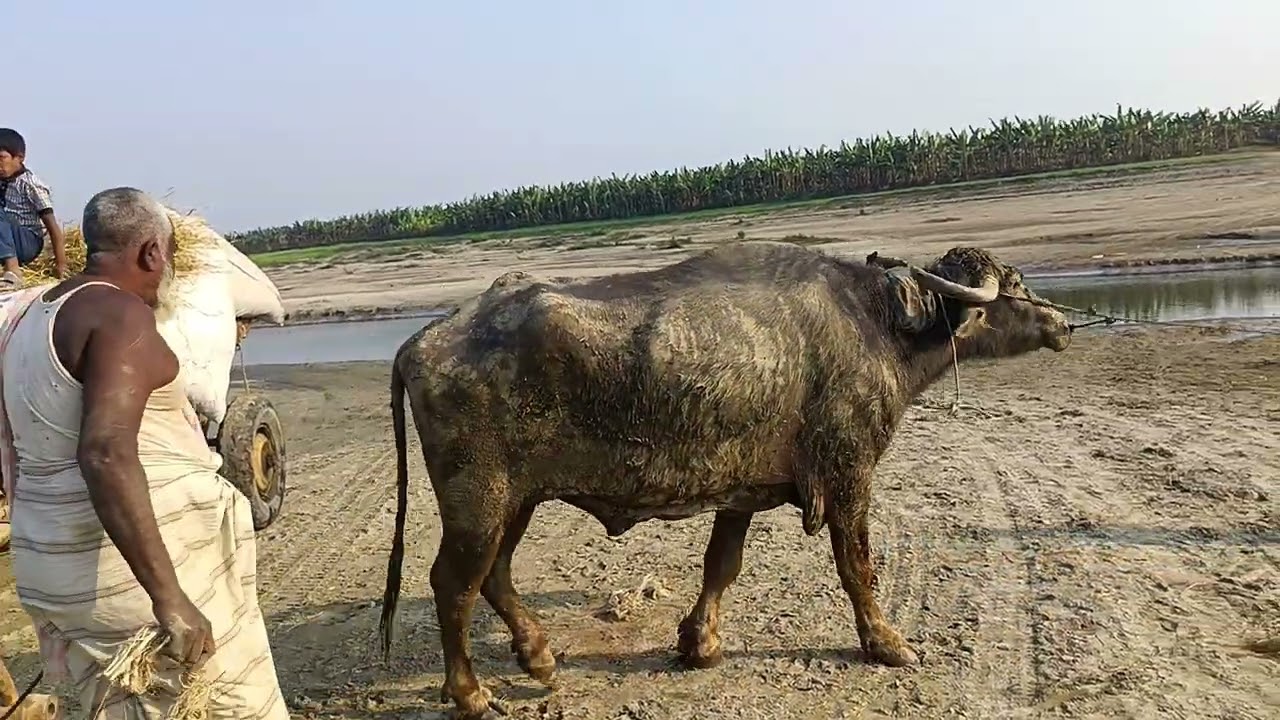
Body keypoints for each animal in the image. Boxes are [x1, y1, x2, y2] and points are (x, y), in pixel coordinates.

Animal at [380, 241, 1071, 719]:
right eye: (1014, 286)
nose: (1064, 322)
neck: (877, 325)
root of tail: (422, 340)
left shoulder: (742, 491)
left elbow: (722, 564)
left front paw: (699, 643)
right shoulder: (850, 475)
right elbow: (857, 567)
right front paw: (886, 642)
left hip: (517, 499)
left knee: (494, 575)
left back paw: (541, 658)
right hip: (477, 500)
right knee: (454, 584)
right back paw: (471, 694)